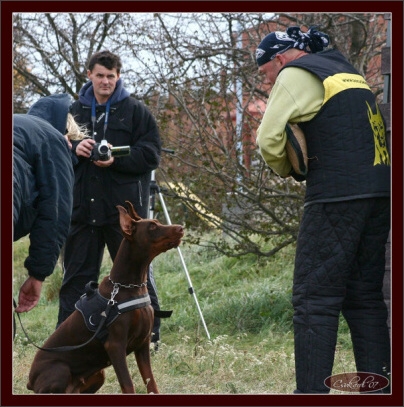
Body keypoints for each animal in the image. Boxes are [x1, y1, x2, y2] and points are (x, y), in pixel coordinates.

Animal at [28, 201, 185, 396]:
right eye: (152, 227)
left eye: (157, 222)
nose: (181, 228)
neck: (128, 286)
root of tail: (30, 381)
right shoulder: (115, 345)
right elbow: (128, 385)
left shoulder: (143, 344)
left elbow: (151, 383)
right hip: (60, 370)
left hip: (97, 376)